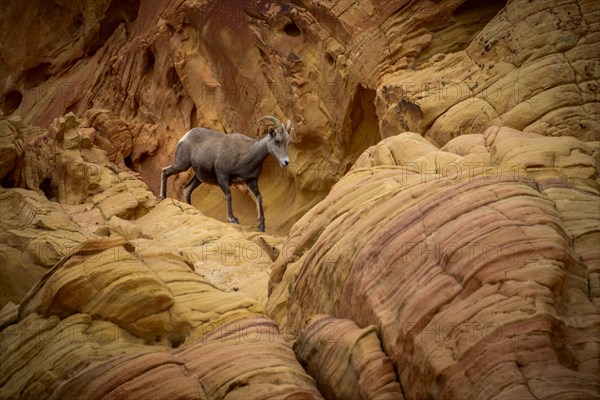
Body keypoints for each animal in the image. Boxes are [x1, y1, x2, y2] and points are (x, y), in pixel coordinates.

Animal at [158, 115, 292, 231]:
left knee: (186, 189)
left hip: (198, 177)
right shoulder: (223, 176)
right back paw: (161, 198)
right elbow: (228, 195)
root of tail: (185, 137)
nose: (286, 162)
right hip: (182, 164)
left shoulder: (251, 180)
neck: (245, 154)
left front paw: (261, 226)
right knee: (165, 171)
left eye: (288, 143)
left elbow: (259, 198)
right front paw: (232, 219)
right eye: (277, 141)